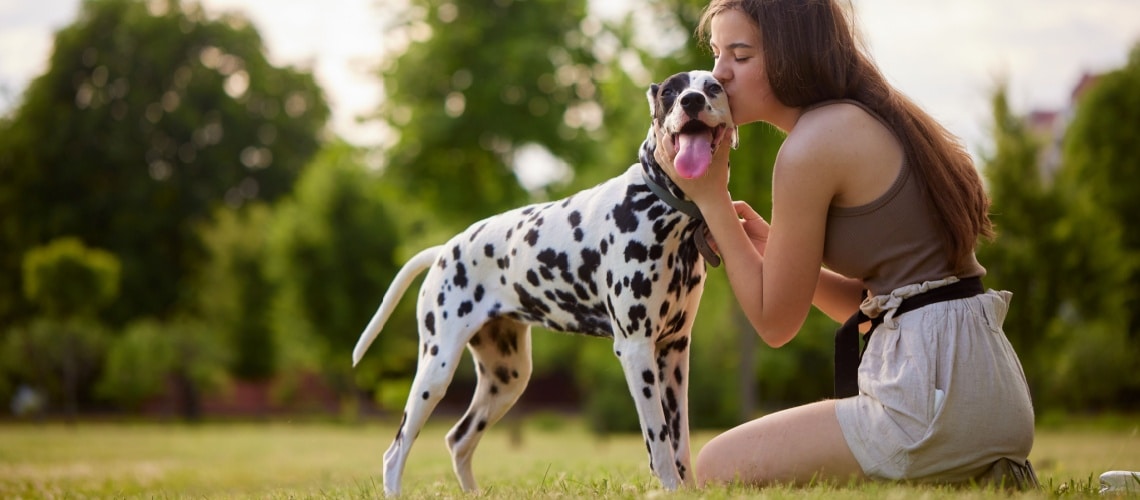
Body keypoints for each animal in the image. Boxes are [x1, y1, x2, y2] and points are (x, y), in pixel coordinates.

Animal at [351, 70, 734, 496]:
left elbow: (680, 438)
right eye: (670, 91)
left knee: (458, 439)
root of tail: (444, 248)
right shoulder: (637, 350)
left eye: (713, 87)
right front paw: (669, 488)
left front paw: (687, 488)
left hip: (507, 378)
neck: (662, 209)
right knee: (396, 450)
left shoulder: (674, 352)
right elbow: (660, 439)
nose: (692, 101)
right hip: (436, 370)